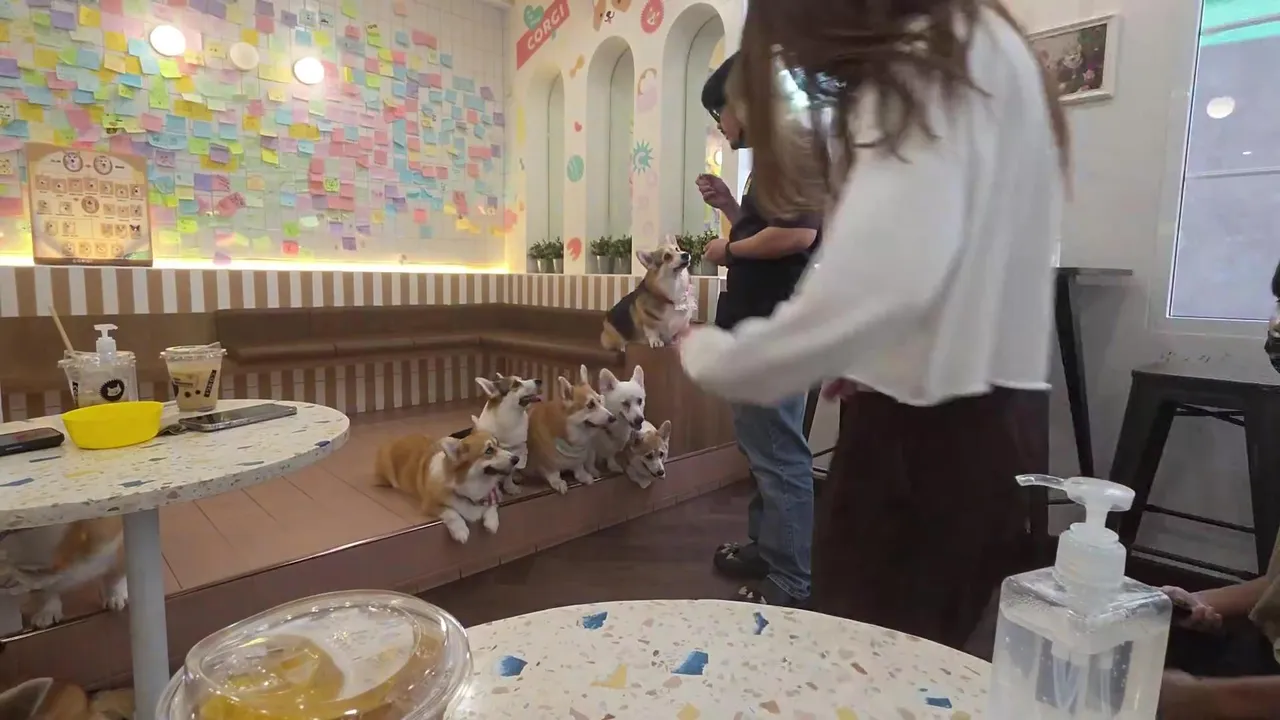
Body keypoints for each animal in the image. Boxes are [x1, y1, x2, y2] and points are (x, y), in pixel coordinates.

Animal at [374, 429, 518, 544]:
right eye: (489, 450)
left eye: (499, 445)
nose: (516, 459)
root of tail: (396, 440)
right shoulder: (430, 505)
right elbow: (451, 512)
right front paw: (461, 531)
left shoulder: (492, 494)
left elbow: (492, 506)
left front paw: (492, 523)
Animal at [526, 365, 615, 494]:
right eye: (590, 405)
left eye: (599, 400)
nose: (613, 418)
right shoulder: (546, 464)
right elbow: (553, 472)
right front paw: (558, 482)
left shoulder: (578, 461)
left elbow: (579, 468)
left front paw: (583, 475)